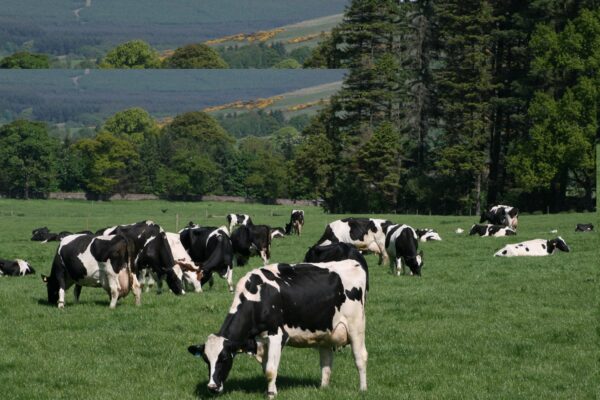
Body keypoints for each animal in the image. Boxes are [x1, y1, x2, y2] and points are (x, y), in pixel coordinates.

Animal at [188, 260, 368, 396]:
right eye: (206, 359)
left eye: (224, 358)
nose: (212, 387)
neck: (258, 297)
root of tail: (353, 262)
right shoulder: (261, 341)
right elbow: (266, 369)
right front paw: (270, 390)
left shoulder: (276, 335)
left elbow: (270, 370)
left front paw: (271, 394)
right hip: (324, 333)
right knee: (326, 362)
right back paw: (323, 388)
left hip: (356, 326)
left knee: (360, 357)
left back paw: (363, 389)